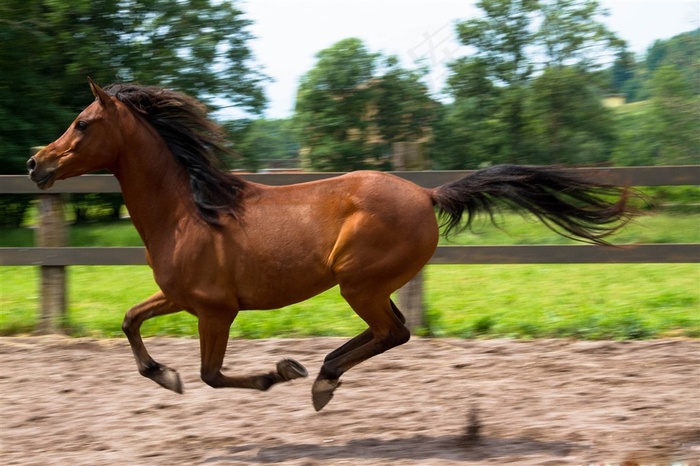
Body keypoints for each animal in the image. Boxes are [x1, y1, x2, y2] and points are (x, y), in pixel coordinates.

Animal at [27, 79, 636, 412]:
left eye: (82, 123)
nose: (36, 164)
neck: (189, 213)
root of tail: (428, 192)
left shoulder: (216, 310)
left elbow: (211, 374)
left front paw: (273, 374)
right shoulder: (180, 297)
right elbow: (130, 320)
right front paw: (164, 376)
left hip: (357, 283)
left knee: (392, 332)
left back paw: (317, 376)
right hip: (368, 285)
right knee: (393, 331)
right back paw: (324, 373)